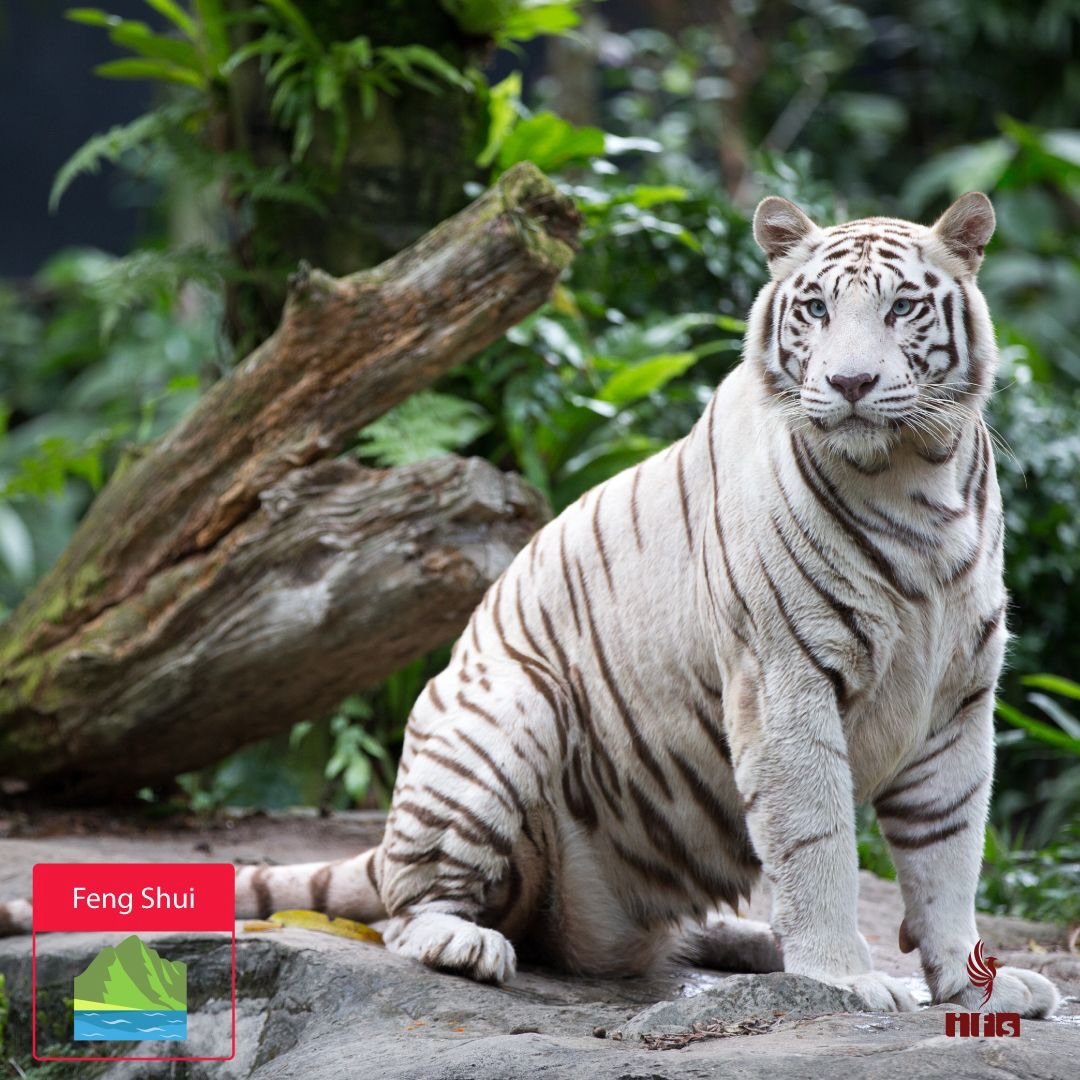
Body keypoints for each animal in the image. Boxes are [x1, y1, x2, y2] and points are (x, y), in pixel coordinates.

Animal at [2, 193, 1061, 1019]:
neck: (916, 483)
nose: (848, 382)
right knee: (413, 908)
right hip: (505, 712)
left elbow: (948, 852)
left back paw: (749, 938)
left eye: (902, 308)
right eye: (814, 310)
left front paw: (971, 985)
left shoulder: (959, 700)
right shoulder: (785, 681)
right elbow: (819, 843)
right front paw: (845, 978)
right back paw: (465, 943)